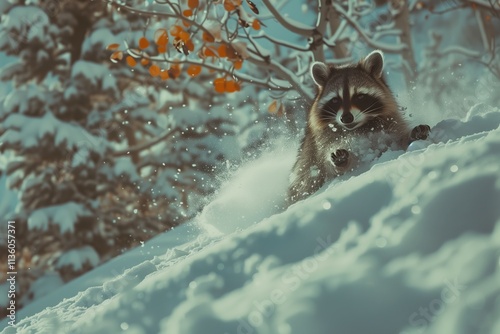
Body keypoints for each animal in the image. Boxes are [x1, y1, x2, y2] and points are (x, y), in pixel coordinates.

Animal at [290, 50, 430, 204]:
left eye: (360, 97)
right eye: (335, 100)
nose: (346, 118)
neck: (360, 128)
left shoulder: (390, 127)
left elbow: (398, 143)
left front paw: (412, 135)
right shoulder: (320, 146)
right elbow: (323, 170)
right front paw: (340, 162)